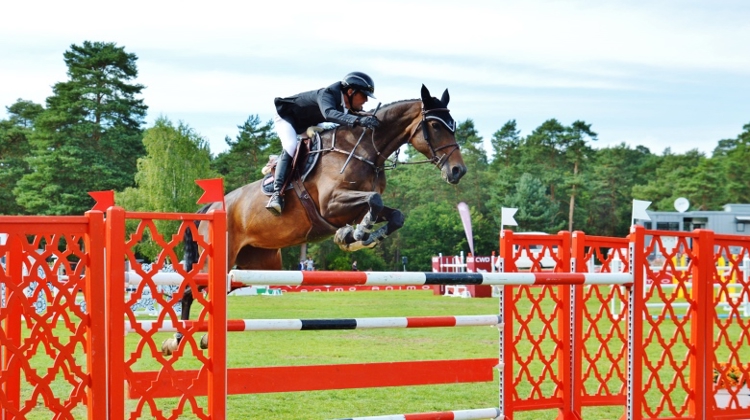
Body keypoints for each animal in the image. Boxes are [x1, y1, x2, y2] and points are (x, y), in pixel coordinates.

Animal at [165, 83, 470, 352]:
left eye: (452, 124)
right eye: (435, 126)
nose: (458, 171)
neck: (364, 150)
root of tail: (211, 208)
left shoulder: (356, 206)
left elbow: (394, 215)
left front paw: (356, 237)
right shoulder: (332, 205)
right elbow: (374, 200)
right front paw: (356, 235)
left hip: (254, 263)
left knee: (218, 289)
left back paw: (198, 337)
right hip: (218, 259)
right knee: (192, 290)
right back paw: (178, 340)